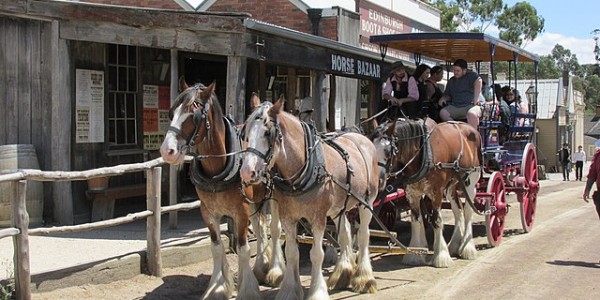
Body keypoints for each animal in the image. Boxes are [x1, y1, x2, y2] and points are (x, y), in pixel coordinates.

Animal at [157, 82, 284, 300]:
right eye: (172, 113)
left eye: (193, 116)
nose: (167, 151)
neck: (217, 170)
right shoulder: (208, 212)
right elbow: (216, 247)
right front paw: (217, 288)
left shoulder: (240, 211)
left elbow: (243, 248)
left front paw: (247, 290)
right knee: (260, 228)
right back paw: (260, 267)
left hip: (273, 197)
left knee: (274, 229)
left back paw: (275, 270)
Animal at [240, 99, 378, 298]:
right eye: (246, 133)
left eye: (268, 133)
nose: (246, 172)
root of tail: (361, 137)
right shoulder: (288, 216)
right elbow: (291, 252)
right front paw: (289, 290)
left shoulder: (318, 217)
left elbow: (317, 254)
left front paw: (317, 292)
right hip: (337, 208)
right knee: (345, 233)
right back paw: (342, 274)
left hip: (367, 201)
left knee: (363, 235)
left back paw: (364, 278)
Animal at [372, 119, 480, 268]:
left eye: (388, 151)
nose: (378, 180)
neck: (424, 154)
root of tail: (470, 128)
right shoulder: (412, 194)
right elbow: (416, 221)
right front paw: (415, 254)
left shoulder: (436, 193)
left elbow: (436, 221)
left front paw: (441, 256)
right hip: (452, 185)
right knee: (457, 209)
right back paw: (454, 245)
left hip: (471, 180)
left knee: (468, 211)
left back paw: (467, 248)